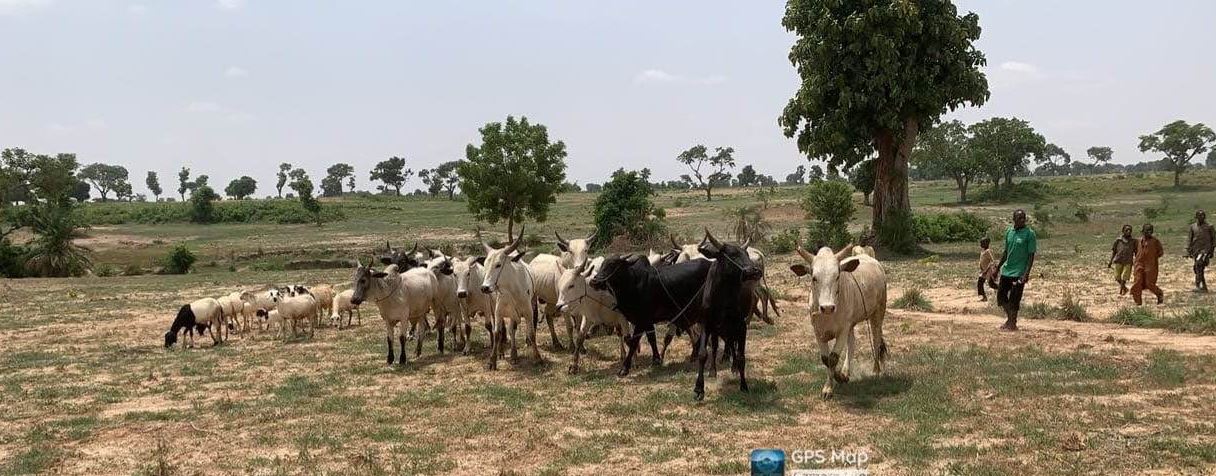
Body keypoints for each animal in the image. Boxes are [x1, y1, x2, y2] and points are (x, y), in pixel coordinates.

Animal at [478, 226, 540, 370]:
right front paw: (492, 360)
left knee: (512, 330)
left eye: (498, 265)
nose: (484, 288)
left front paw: (537, 357)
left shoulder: (528, 311)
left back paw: (514, 355)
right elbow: (497, 334)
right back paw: (503, 353)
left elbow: (531, 334)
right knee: (504, 330)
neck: (512, 290)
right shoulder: (498, 311)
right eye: (485, 265)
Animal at [789, 244, 888, 398]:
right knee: (852, 343)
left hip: (877, 313)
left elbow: (833, 358)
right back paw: (846, 371)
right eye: (814, 278)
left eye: (837, 276)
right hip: (851, 324)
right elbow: (826, 359)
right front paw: (837, 380)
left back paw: (876, 371)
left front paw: (832, 385)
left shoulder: (842, 329)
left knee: (876, 340)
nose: (827, 307)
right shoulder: (818, 331)